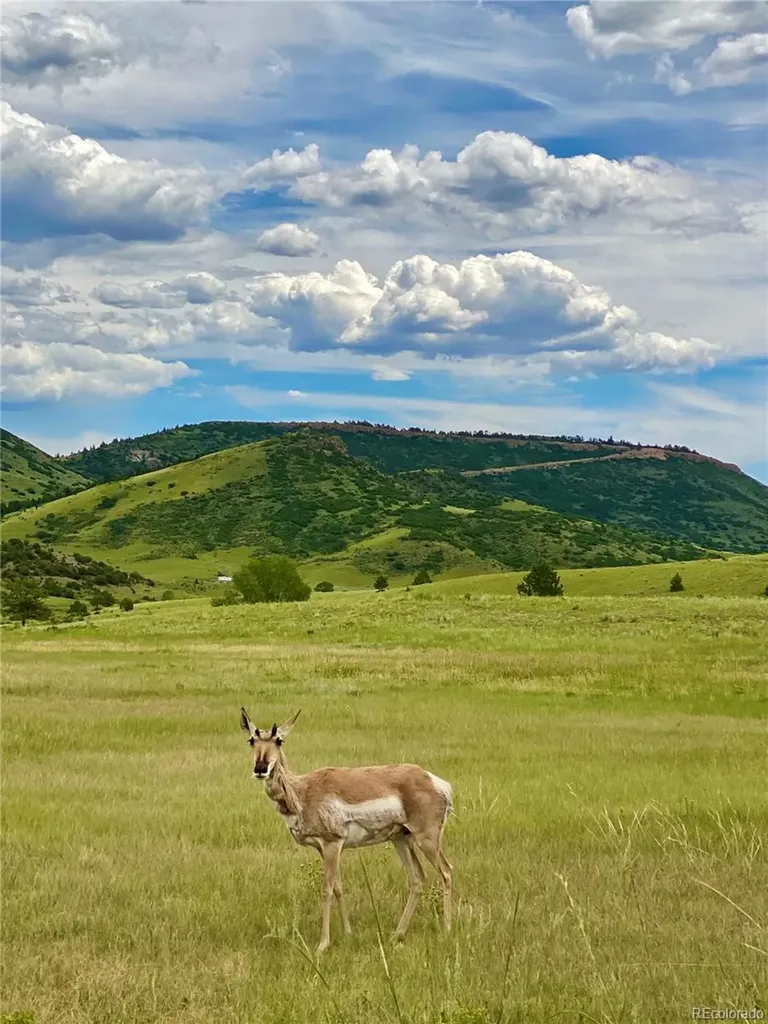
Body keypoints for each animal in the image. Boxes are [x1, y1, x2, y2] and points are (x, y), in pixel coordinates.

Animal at [240, 707, 453, 954]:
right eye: (251, 740)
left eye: (279, 740)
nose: (260, 768)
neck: (303, 792)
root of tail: (436, 782)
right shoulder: (325, 848)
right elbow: (338, 888)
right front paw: (348, 933)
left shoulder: (333, 844)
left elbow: (326, 889)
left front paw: (323, 944)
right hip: (401, 840)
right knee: (417, 879)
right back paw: (396, 935)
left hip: (427, 839)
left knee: (446, 872)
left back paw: (446, 930)